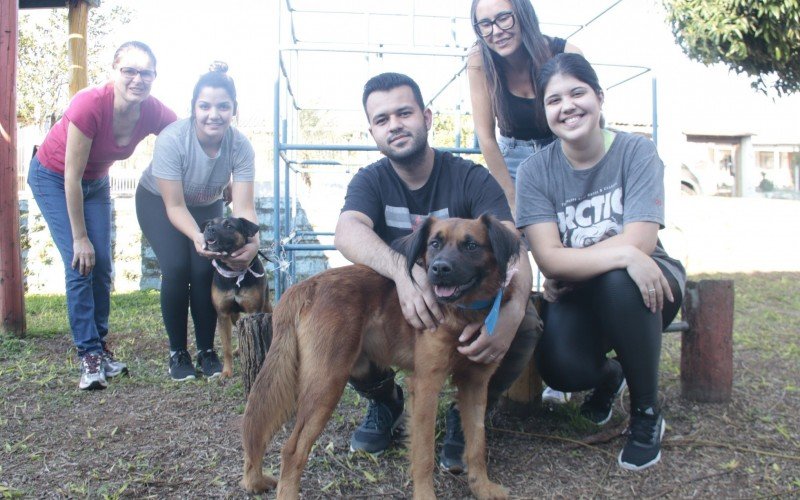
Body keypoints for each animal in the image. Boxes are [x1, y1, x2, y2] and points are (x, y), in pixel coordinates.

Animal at [203, 217, 272, 376]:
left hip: (267, 307)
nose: (209, 229)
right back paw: (238, 350)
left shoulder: (254, 312)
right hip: (234, 316)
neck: (234, 273)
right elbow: (226, 347)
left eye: (229, 226)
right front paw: (226, 372)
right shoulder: (223, 314)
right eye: (209, 224)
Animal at [239, 215, 520, 500]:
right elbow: (424, 454)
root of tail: (307, 285)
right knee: (292, 449)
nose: (439, 269)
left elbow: (477, 443)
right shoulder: (426, 385)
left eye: (471, 246)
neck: (464, 312)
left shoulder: (476, 385)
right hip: (327, 384)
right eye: (435, 243)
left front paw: (481, 486)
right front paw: (426, 494)